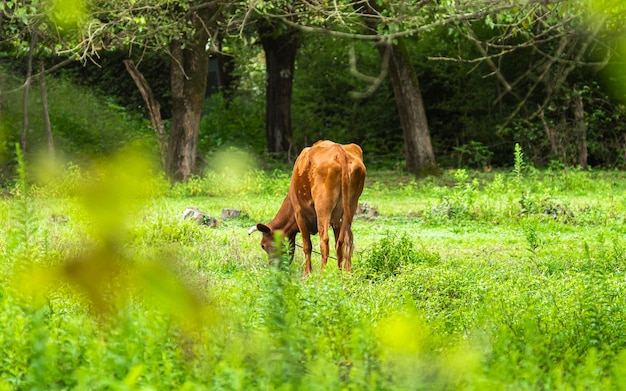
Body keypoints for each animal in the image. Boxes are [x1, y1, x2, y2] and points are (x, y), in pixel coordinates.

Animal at [247, 141, 366, 276]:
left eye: (263, 245)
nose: (273, 268)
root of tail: (339, 151)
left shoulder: (299, 213)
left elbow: (307, 245)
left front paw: (307, 273)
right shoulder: (336, 220)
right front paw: (341, 272)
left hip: (323, 207)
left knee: (324, 241)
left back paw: (322, 274)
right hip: (351, 206)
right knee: (344, 240)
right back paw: (346, 273)